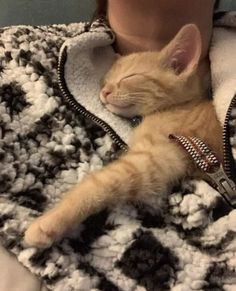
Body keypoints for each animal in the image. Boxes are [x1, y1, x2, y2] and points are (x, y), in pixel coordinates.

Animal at [24, 24, 222, 249]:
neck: (176, 107)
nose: (105, 92)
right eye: (105, 81)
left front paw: (50, 221)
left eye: (129, 77)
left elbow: (100, 184)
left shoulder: (154, 160)